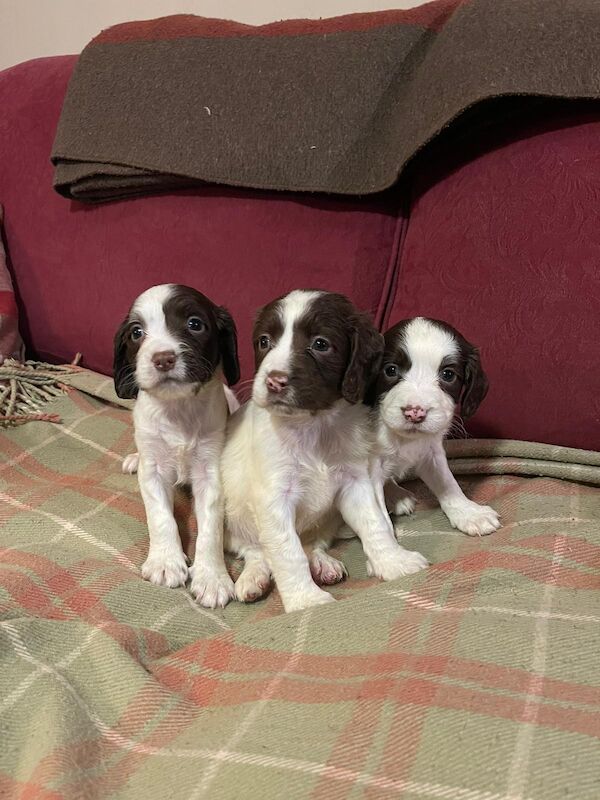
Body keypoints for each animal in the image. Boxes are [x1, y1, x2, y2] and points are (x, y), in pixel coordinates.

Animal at [113, 286, 240, 608]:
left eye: (195, 324)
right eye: (136, 332)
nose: (163, 359)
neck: (178, 408)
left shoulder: (211, 472)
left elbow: (210, 529)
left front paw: (212, 577)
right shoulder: (154, 471)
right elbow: (161, 518)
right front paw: (165, 562)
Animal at [220, 290, 426, 616]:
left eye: (320, 344)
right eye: (264, 341)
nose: (273, 381)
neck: (312, 426)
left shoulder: (355, 484)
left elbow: (375, 524)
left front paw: (394, 562)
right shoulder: (273, 498)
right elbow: (286, 551)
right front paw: (306, 600)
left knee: (310, 544)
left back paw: (321, 563)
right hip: (231, 519)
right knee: (255, 549)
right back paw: (254, 578)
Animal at [370, 318, 502, 536]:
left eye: (448, 374)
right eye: (390, 370)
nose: (415, 413)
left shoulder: (431, 451)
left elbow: (447, 482)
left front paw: (468, 512)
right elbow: (373, 515)